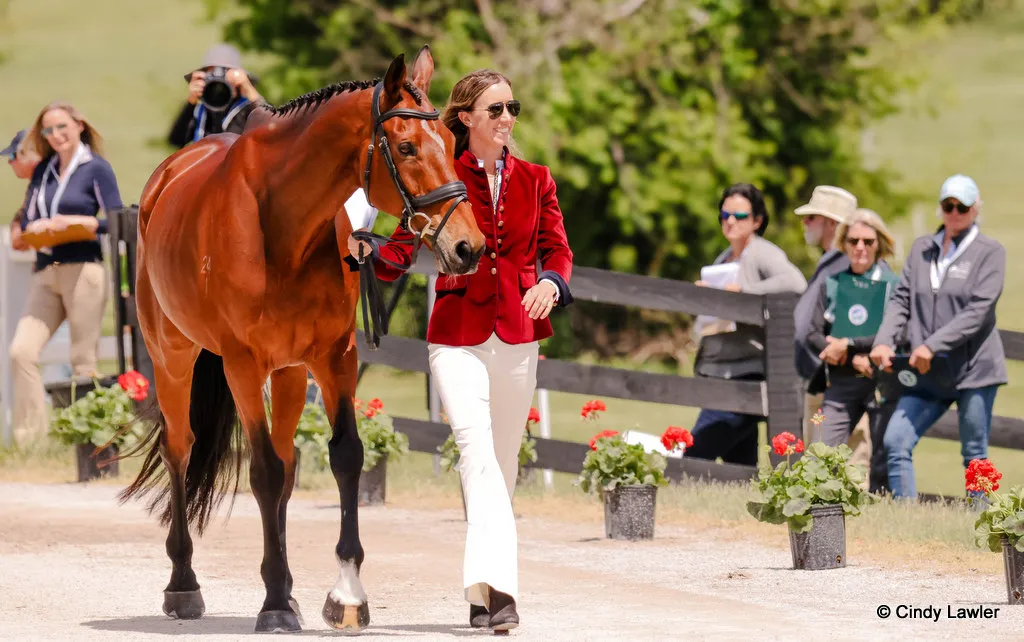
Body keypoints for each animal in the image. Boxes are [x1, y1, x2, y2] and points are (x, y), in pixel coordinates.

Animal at [118, 46, 486, 633]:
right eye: (406, 146)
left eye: (452, 146)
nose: (467, 247)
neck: (281, 226)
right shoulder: (242, 366)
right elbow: (263, 471)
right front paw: (271, 603)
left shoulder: (334, 358)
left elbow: (344, 457)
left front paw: (345, 594)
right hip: (173, 356)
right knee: (181, 450)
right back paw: (184, 586)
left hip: (289, 373)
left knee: (288, 463)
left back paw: (287, 590)